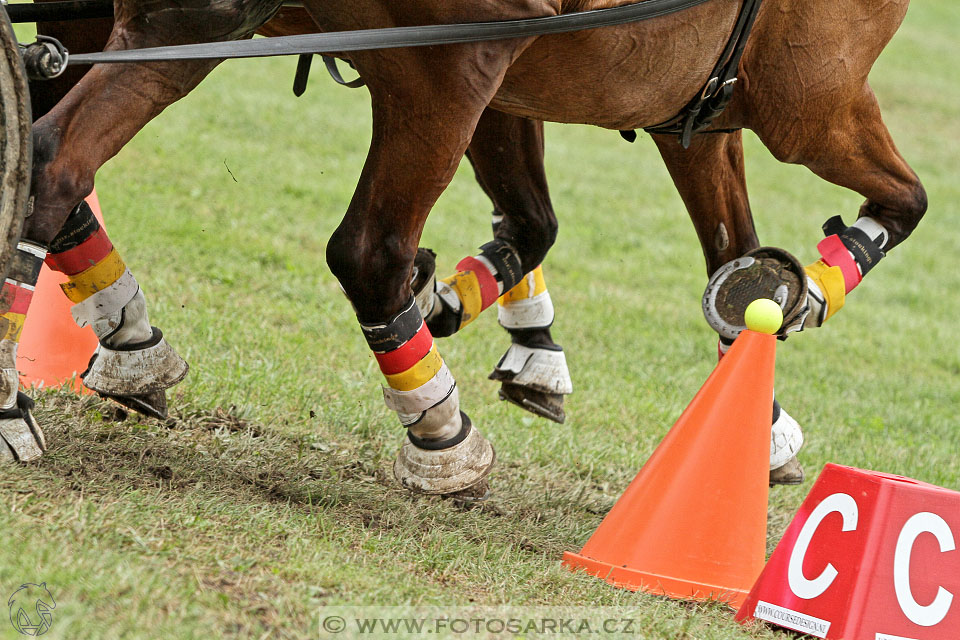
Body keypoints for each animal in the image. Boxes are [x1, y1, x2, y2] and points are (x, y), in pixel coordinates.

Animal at [9, 0, 924, 498]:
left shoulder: (680, 107)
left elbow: (695, 254)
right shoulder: (811, 101)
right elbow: (905, 205)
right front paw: (809, 293)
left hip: (189, 24)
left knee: (52, 163)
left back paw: (102, 358)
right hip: (446, 65)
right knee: (368, 251)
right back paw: (441, 433)